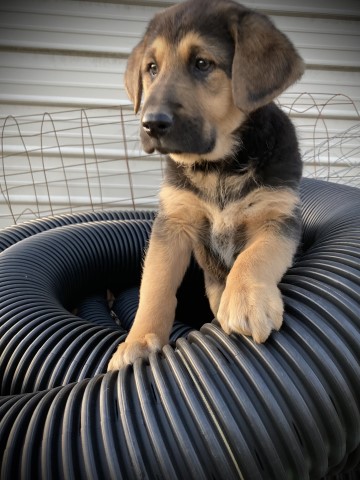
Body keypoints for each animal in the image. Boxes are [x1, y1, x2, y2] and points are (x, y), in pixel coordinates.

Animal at [107, 0, 304, 372]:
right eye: (151, 69)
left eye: (202, 63)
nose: (151, 124)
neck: (219, 167)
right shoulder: (174, 220)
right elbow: (154, 285)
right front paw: (138, 341)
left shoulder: (276, 216)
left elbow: (256, 255)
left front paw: (246, 300)